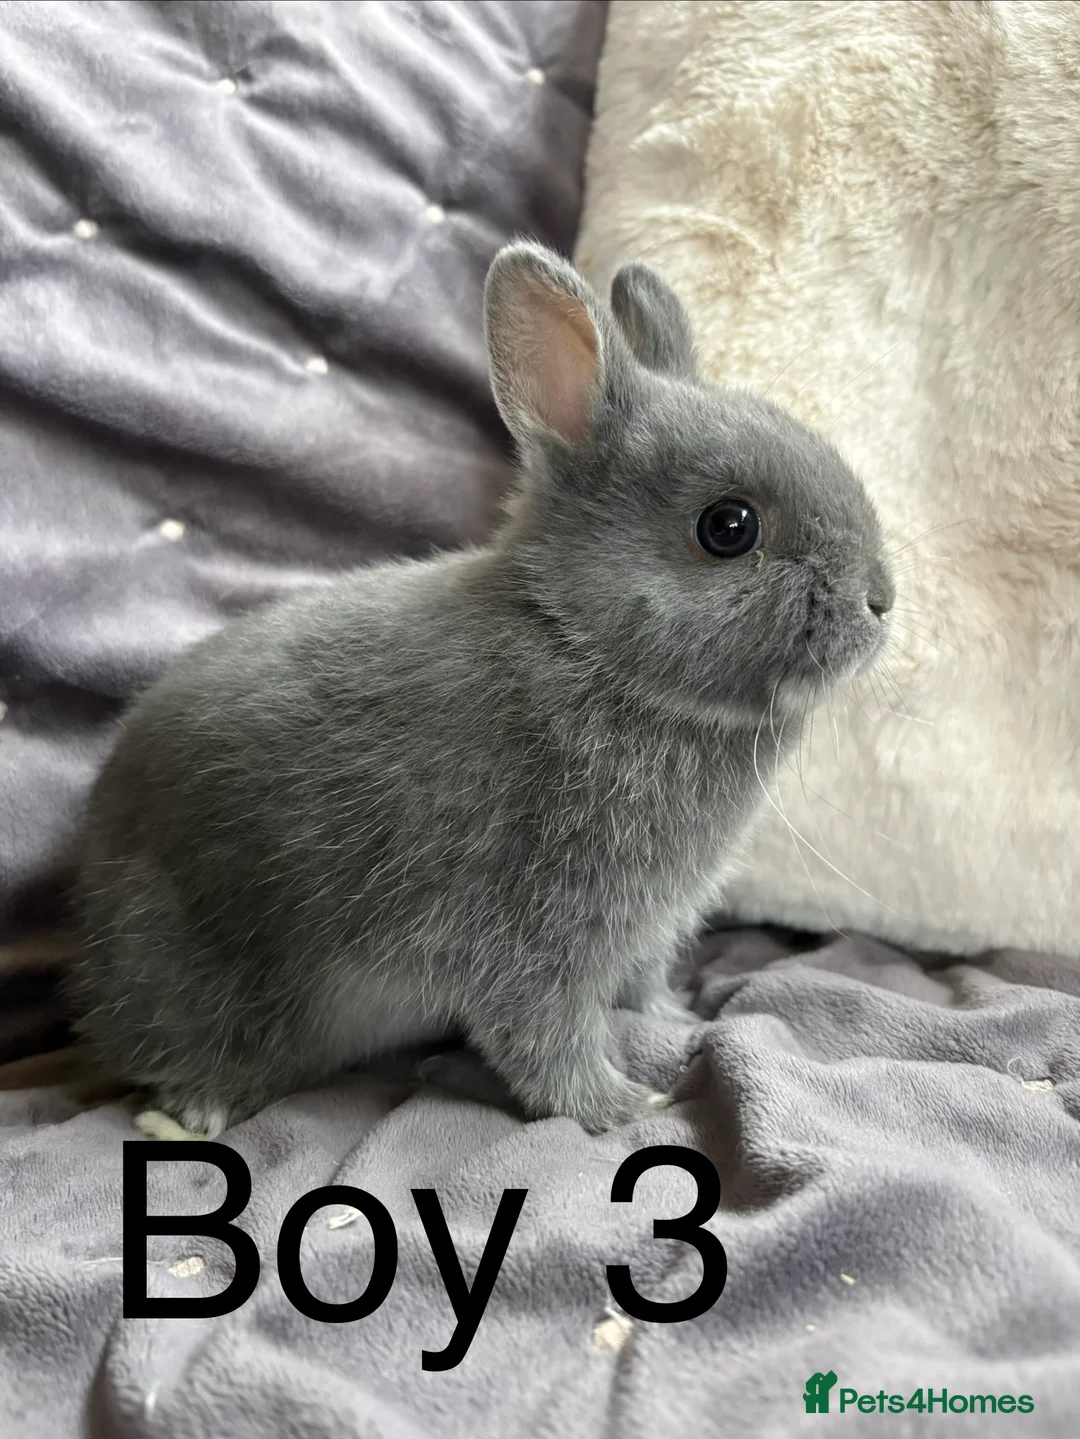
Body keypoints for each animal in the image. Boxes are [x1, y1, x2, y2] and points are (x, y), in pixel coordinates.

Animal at [68, 242, 894, 1139]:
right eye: (729, 527)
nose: (882, 598)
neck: (591, 649)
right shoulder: (537, 924)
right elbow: (545, 1036)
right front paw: (623, 1105)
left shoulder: (642, 928)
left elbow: (638, 985)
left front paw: (678, 1019)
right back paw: (190, 1112)